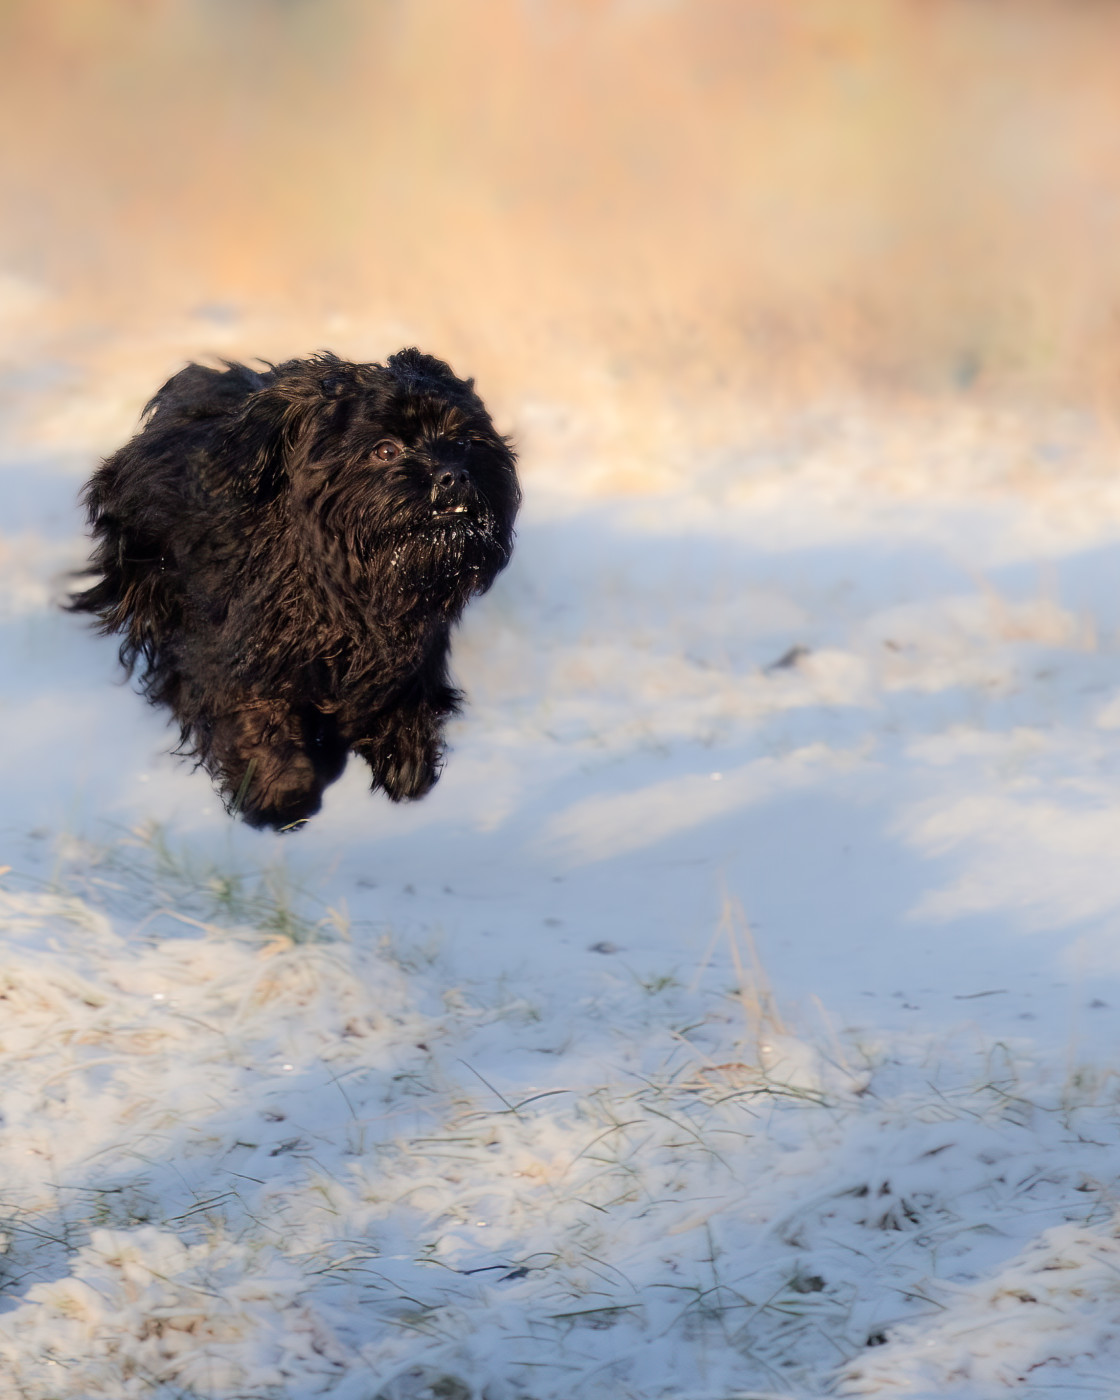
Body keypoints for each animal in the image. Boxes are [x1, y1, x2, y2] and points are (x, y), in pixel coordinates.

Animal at [68, 352, 520, 828]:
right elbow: (252, 713)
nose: (452, 475)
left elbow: (404, 694)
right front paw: (280, 792)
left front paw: (405, 758)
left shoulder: (408, 648)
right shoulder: (234, 648)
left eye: (464, 441)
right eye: (385, 450)